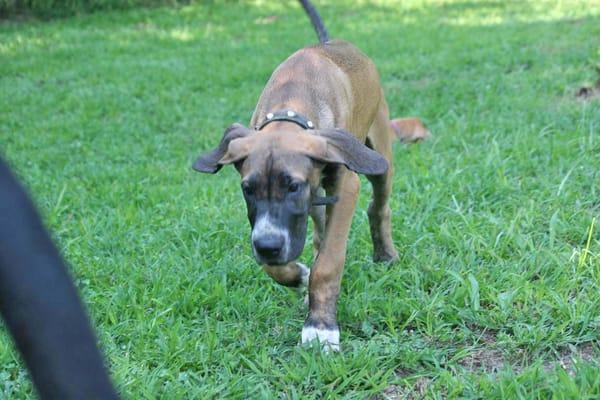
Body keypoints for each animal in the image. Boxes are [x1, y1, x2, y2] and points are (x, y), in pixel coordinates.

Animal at [192, 0, 426, 350]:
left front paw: (320, 327)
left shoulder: (346, 186)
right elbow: (285, 263)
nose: (268, 246)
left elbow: (329, 263)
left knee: (379, 206)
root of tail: (332, 42)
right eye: (248, 189)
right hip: (319, 200)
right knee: (318, 232)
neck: (291, 108)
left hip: (380, 155)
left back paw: (385, 255)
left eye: (293, 187)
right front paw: (297, 275)